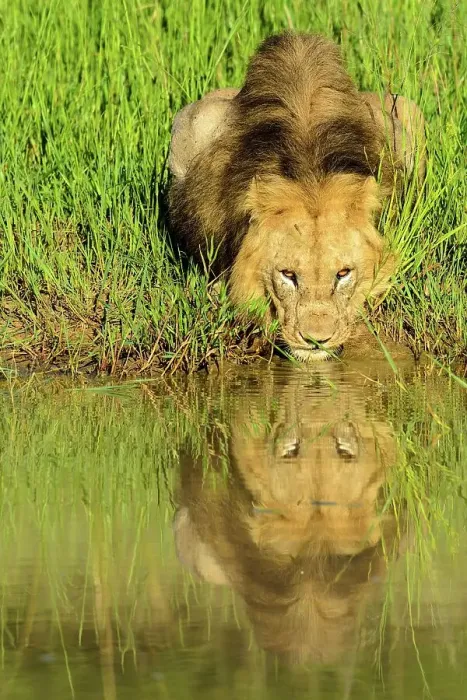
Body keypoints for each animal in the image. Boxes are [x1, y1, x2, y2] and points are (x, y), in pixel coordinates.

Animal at [168, 33, 426, 361]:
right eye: (288, 275)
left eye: (343, 273)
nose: (316, 340)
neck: (310, 173)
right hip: (194, 121)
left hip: (406, 110)